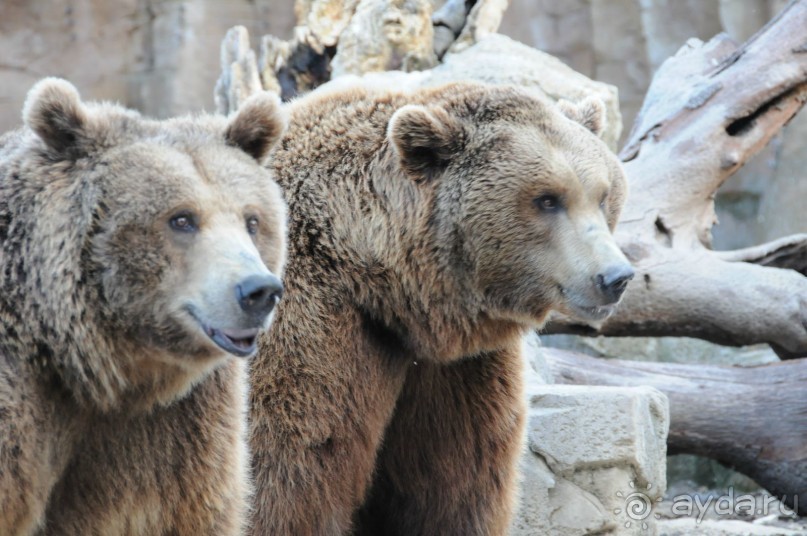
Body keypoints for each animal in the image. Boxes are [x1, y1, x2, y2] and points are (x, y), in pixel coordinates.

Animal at [249, 81, 636, 532]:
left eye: (603, 194)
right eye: (547, 199)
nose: (615, 276)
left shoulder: (449, 371)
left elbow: (452, 483)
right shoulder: (305, 328)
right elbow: (284, 467)